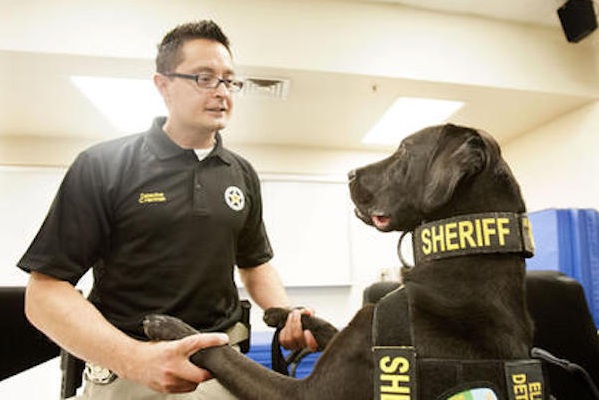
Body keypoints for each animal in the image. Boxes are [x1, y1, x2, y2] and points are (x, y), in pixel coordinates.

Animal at [144, 124, 536, 399]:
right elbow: (328, 326)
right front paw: (287, 314)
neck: (460, 266)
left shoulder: (304, 393)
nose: (349, 174)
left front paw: (174, 328)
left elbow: (225, 353)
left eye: (404, 151)